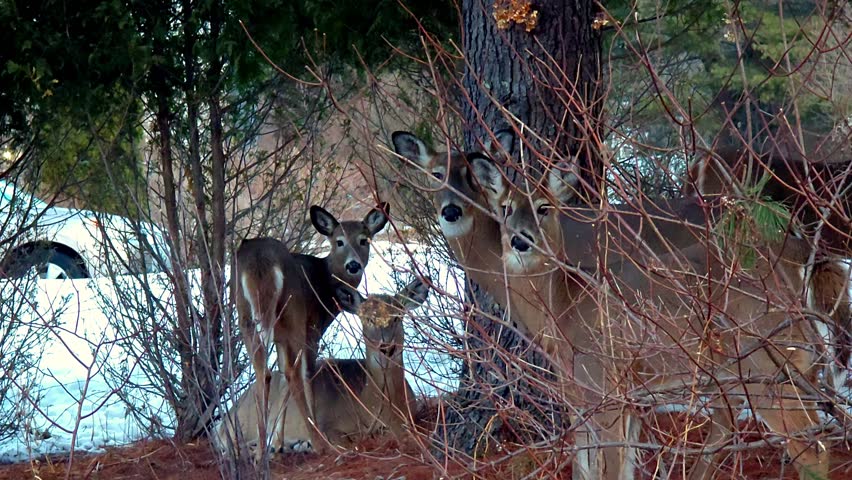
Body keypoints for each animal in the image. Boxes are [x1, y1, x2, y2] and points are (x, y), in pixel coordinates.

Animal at [217, 277, 429, 452]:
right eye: (366, 319)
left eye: (398, 317)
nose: (386, 347)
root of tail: (229, 412)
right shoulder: (326, 422)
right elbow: (346, 442)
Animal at [234, 203, 389, 458]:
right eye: (339, 241)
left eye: (364, 240)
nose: (353, 265)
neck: (325, 282)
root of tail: (260, 261)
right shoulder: (313, 328)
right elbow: (307, 373)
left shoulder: (280, 337)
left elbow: (282, 380)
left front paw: (277, 443)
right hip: (294, 314)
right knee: (293, 373)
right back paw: (317, 443)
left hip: (246, 315)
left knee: (264, 372)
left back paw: (260, 453)